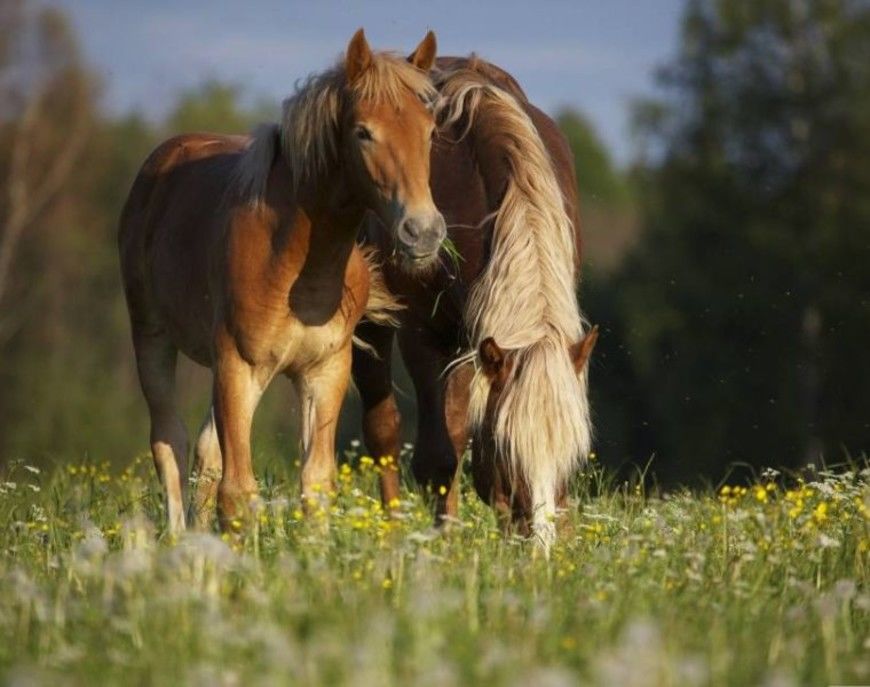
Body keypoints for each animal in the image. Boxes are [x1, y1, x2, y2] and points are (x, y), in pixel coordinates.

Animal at [118, 29, 445, 535]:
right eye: (363, 132)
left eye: (430, 131)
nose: (423, 231)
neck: (295, 263)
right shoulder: (238, 365)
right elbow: (237, 492)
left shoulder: (324, 371)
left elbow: (315, 484)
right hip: (154, 338)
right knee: (169, 442)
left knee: (204, 452)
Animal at [352, 56, 598, 547]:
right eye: (508, 449)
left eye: (573, 453)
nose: (540, 547)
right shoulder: (424, 336)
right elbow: (438, 457)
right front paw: (443, 545)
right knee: (384, 431)